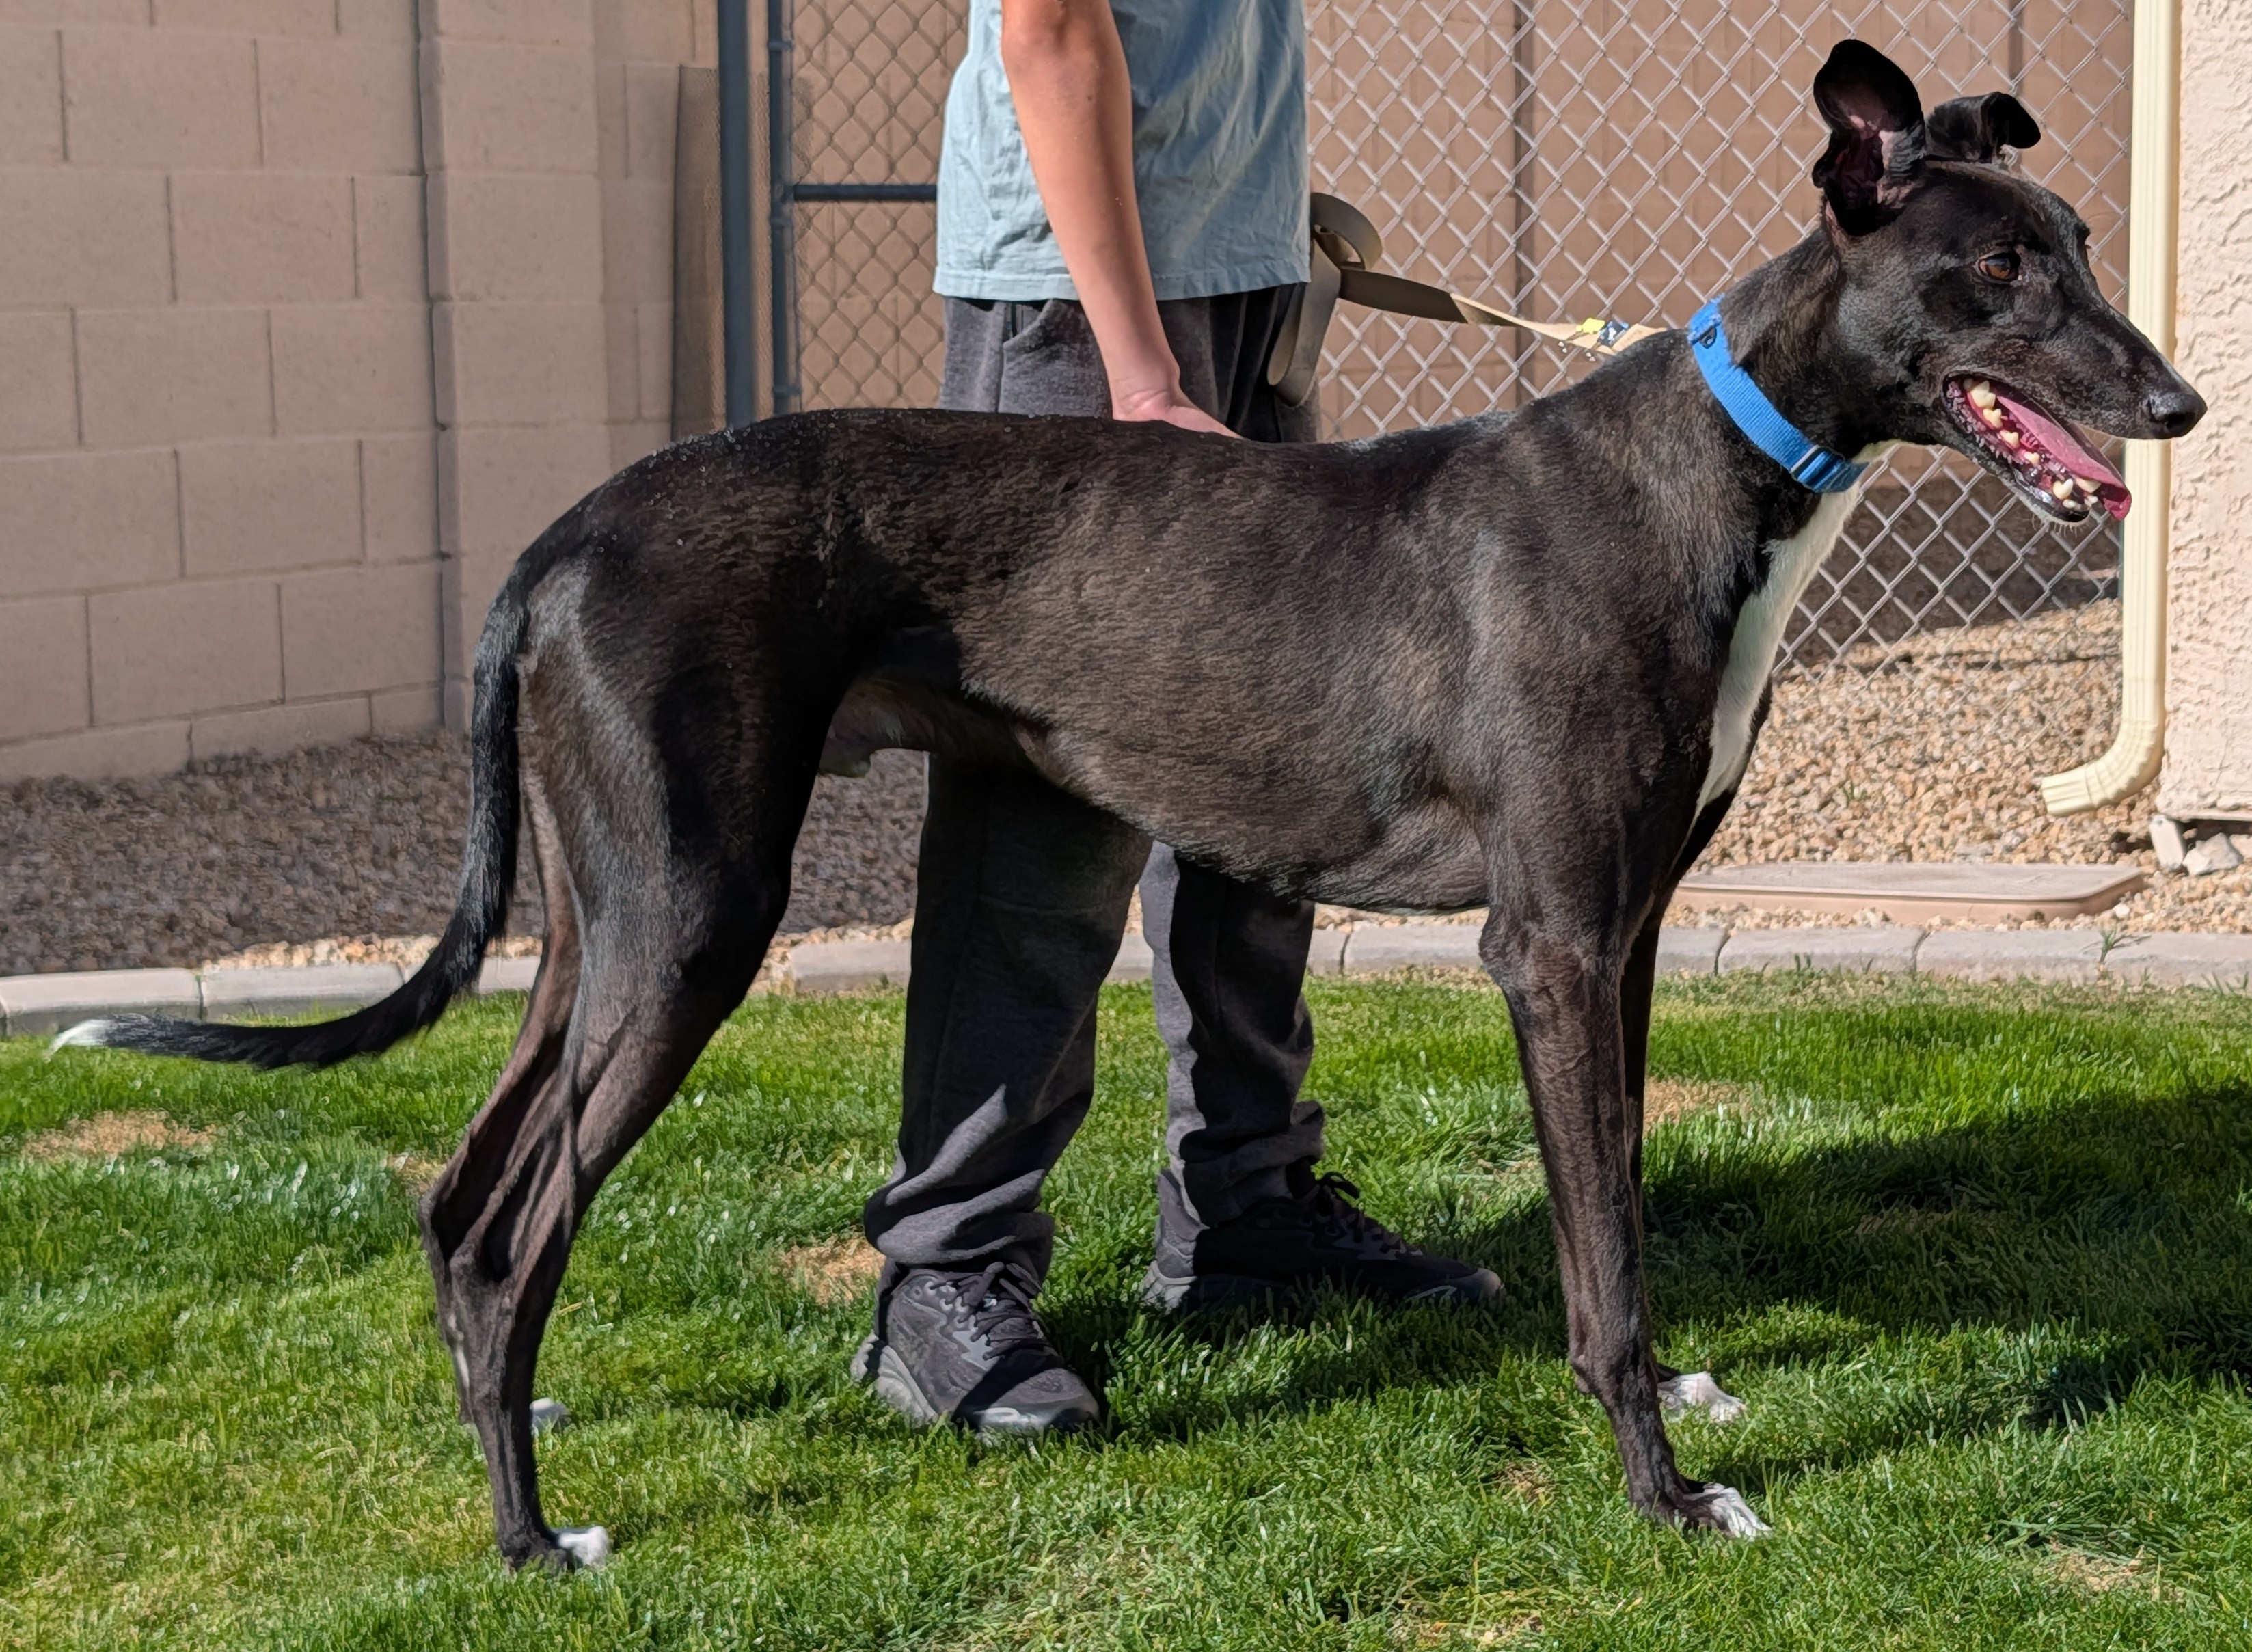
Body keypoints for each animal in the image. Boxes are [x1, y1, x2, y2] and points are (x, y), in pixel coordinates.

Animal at [60, 41, 2201, 1566]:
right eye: (1992, 272)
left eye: (2082, 245)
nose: (2177, 407)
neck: (1712, 466)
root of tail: (558, 542)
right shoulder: (1550, 942)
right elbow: (1595, 1261)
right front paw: (1662, 1494)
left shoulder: (1635, 932)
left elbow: (1626, 1214)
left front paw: (1685, 1394)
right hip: (692, 919)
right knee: (518, 1225)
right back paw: (528, 1537)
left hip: (606, 912)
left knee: (465, 1193)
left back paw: (512, 1425)